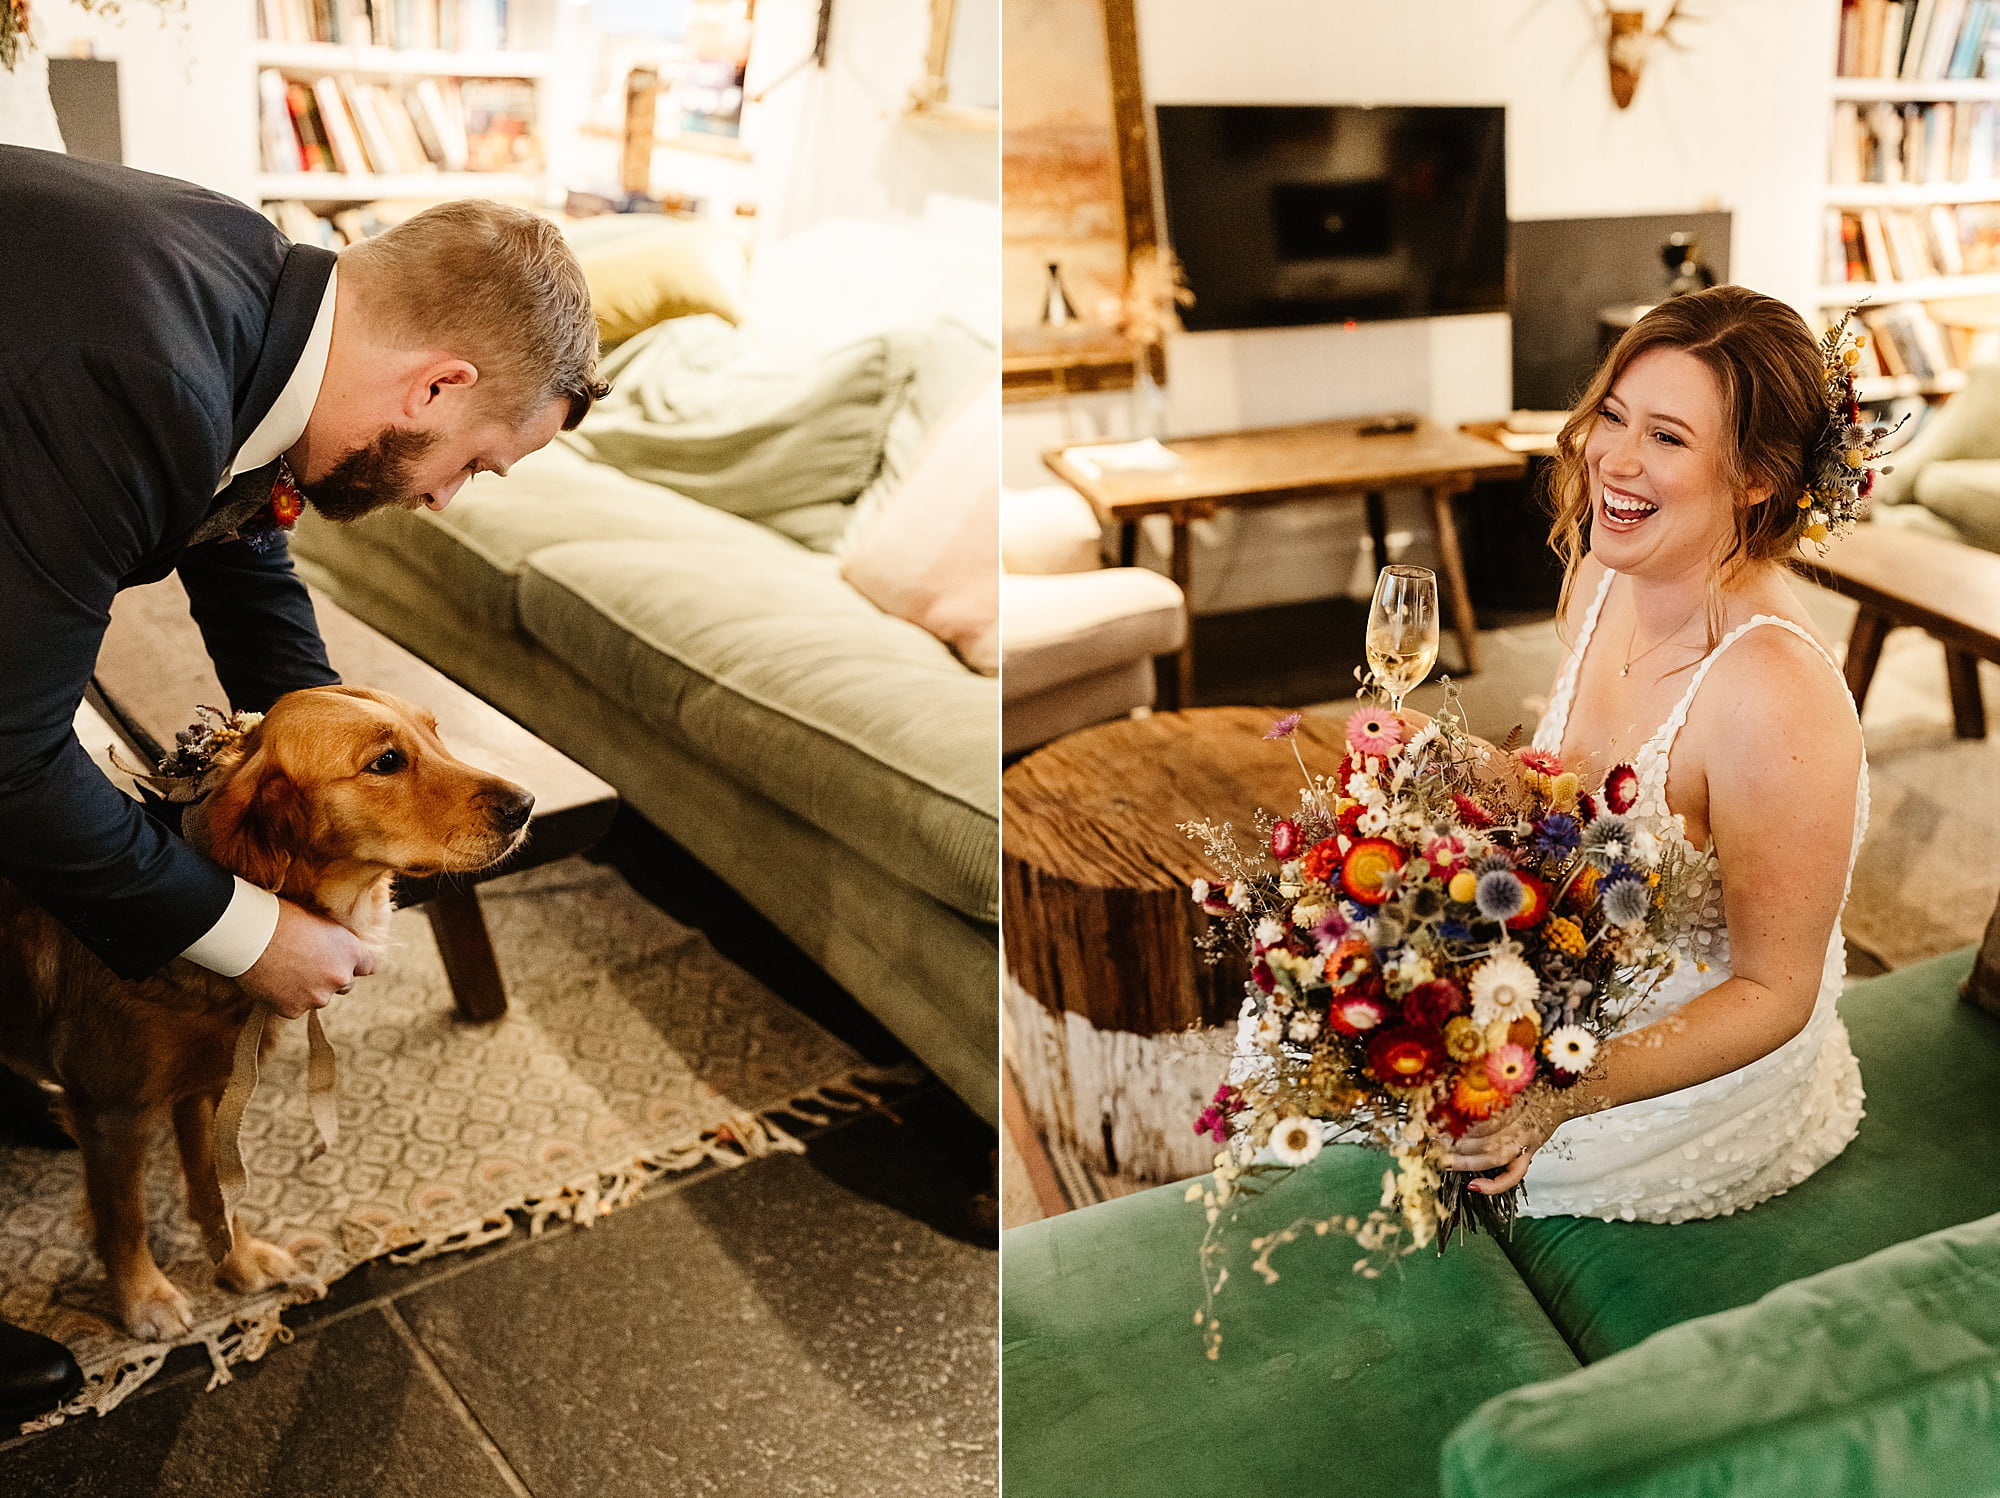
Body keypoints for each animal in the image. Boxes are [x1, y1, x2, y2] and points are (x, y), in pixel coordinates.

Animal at [0, 684, 536, 1336]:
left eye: (434, 732)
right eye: (385, 762)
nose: (526, 804)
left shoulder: (209, 1087)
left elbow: (215, 1187)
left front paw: (238, 1260)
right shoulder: (112, 1111)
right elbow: (124, 1216)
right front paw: (143, 1299)